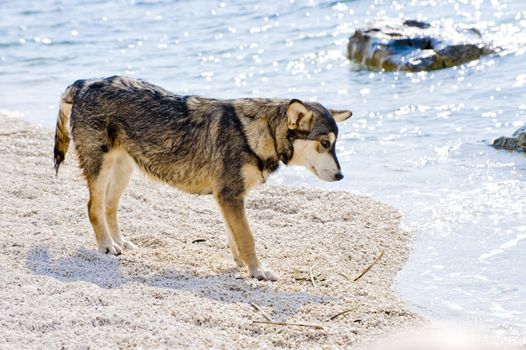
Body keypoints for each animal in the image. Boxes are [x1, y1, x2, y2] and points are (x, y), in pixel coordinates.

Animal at [53, 75, 352, 280]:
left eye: (335, 144)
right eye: (325, 144)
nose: (341, 176)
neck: (259, 132)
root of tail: (84, 83)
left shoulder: (228, 198)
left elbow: (235, 235)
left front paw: (242, 263)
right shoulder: (230, 196)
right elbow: (247, 237)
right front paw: (258, 271)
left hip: (123, 169)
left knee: (109, 207)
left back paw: (119, 242)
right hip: (101, 167)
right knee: (93, 207)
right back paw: (106, 246)